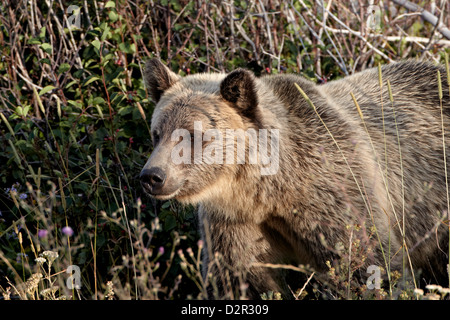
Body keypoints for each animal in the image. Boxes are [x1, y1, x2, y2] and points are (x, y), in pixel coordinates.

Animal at [141, 58, 450, 300]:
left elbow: (368, 261)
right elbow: (242, 276)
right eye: (157, 133)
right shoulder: (234, 219)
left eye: (194, 135)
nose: (152, 176)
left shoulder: (336, 193)